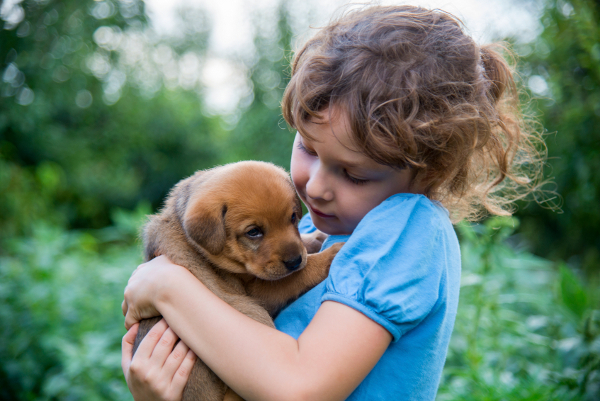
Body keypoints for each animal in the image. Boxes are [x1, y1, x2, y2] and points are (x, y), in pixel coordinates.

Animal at [134, 160, 344, 400]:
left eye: (292, 218)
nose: (294, 260)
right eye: (253, 232)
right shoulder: (259, 292)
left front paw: (314, 239)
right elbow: (299, 275)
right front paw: (329, 255)